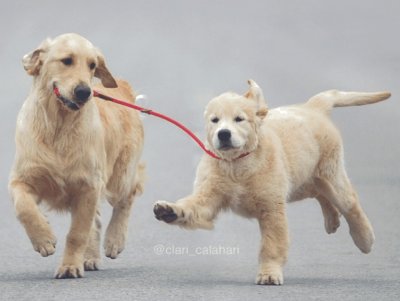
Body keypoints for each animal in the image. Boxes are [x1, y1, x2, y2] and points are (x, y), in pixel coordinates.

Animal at [9, 32, 145, 276]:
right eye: (66, 60)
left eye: (92, 65)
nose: (84, 92)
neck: (58, 127)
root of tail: (123, 88)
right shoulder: (22, 178)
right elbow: (23, 208)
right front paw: (44, 239)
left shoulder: (88, 185)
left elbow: (77, 233)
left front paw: (70, 266)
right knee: (97, 221)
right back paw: (90, 258)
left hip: (120, 177)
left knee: (128, 195)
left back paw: (114, 241)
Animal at [154, 79, 390, 284]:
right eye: (215, 120)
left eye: (239, 119)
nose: (223, 134)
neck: (237, 165)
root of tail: (312, 107)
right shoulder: (209, 196)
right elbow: (192, 206)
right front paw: (170, 210)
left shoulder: (272, 207)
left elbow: (272, 244)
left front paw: (269, 273)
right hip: (301, 180)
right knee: (319, 192)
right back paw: (332, 220)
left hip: (329, 175)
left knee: (350, 203)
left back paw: (364, 239)